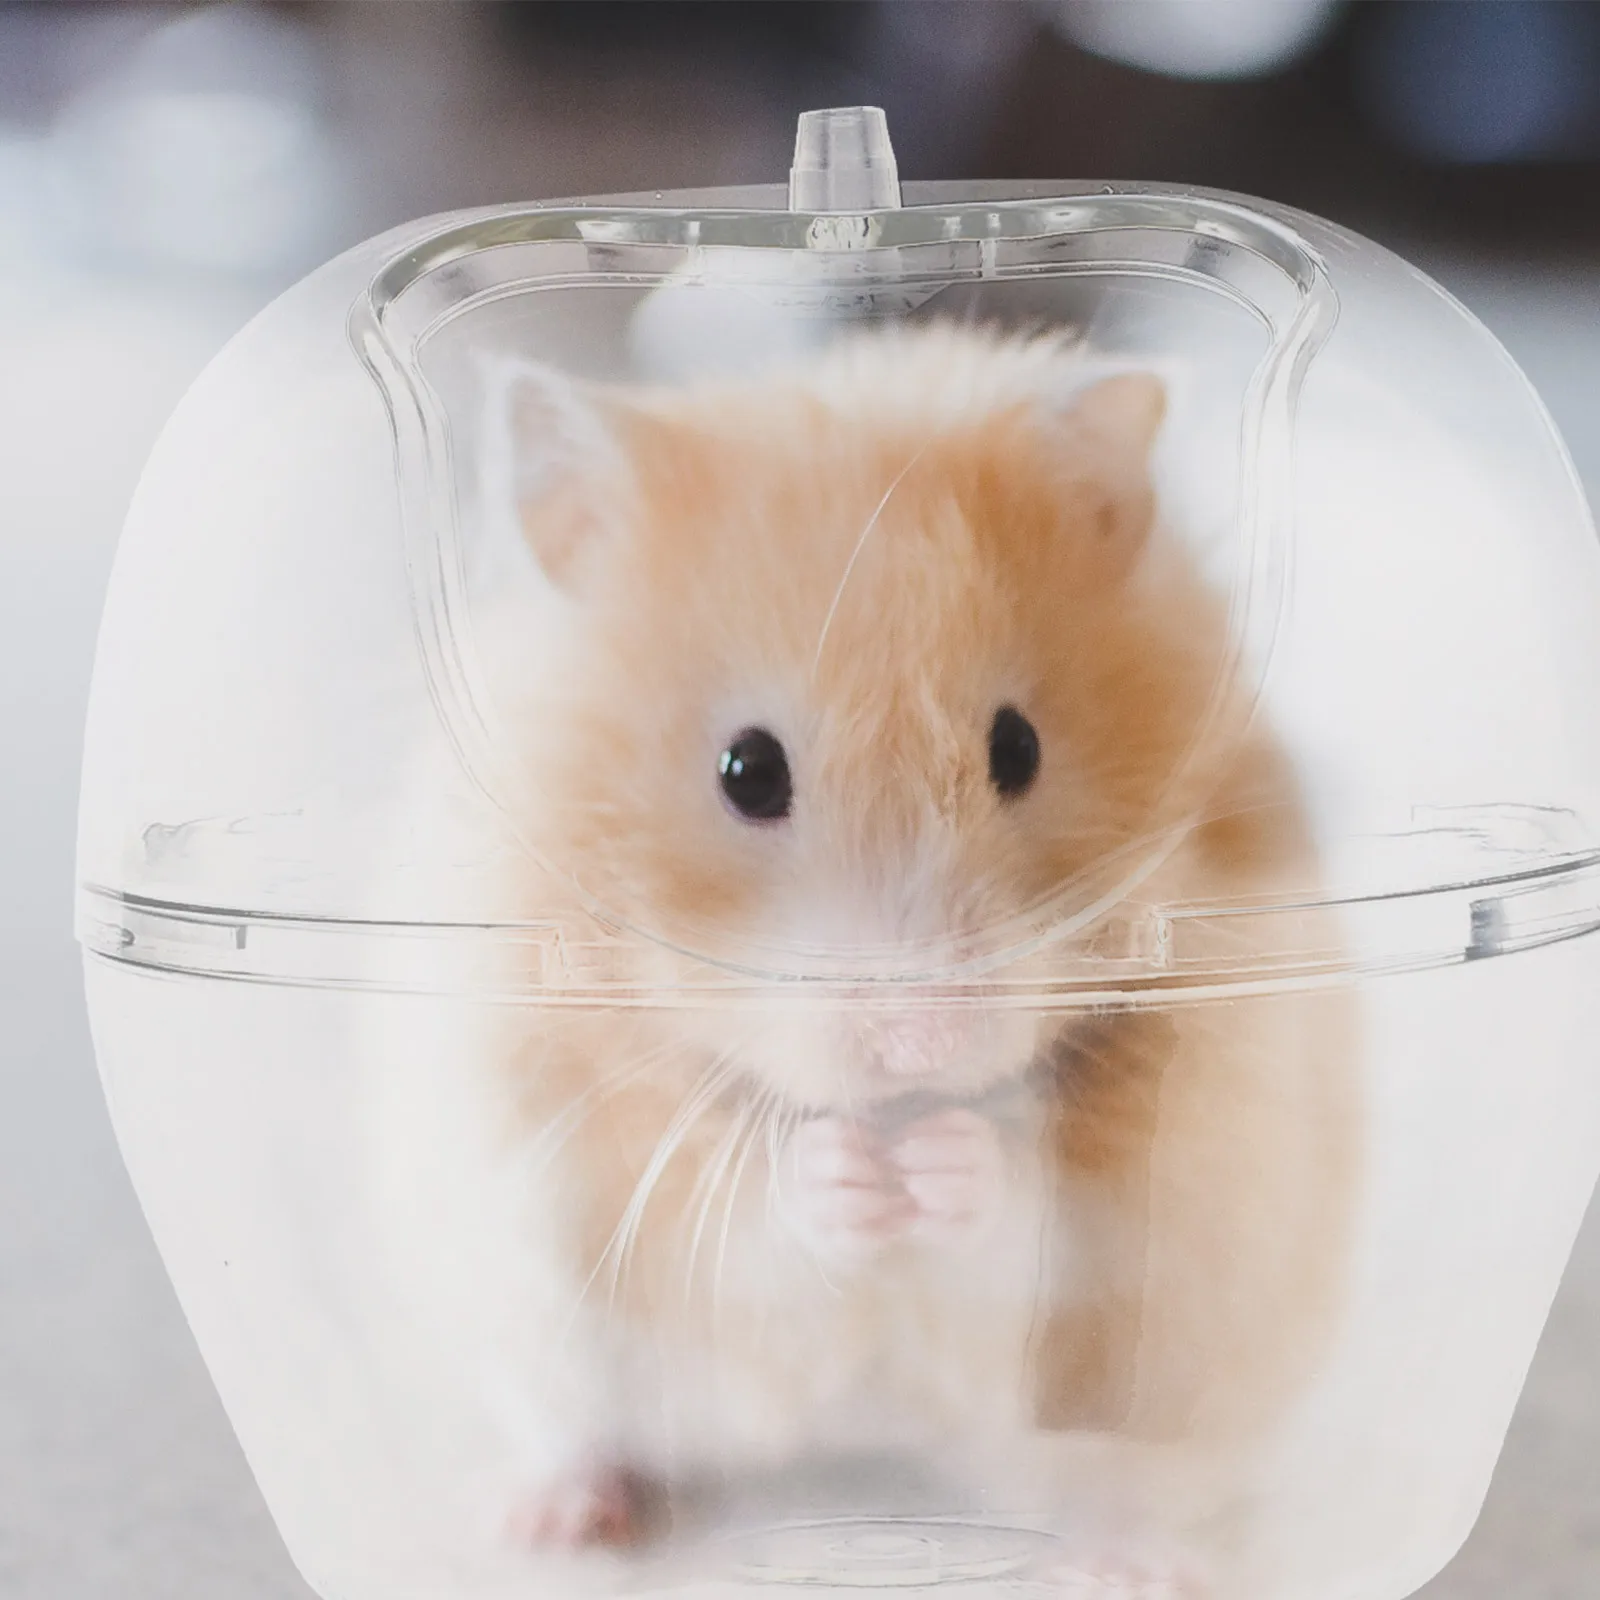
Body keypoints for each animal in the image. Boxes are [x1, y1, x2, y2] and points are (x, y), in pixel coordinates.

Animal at [365, 324, 1358, 1593]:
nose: (920, 1043)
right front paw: (845, 1173)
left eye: (1017, 748)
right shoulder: (571, 1138)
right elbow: (751, 1213)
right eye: (746, 770)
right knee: (584, 1429)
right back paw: (546, 1519)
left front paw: (942, 1163)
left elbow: (1036, 1217)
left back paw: (1131, 1564)